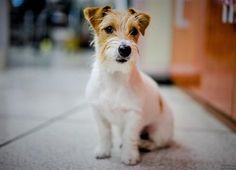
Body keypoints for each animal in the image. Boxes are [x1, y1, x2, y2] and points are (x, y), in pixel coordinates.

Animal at [84, 5, 174, 165]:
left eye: (134, 31)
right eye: (108, 29)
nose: (125, 49)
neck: (115, 75)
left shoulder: (133, 115)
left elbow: (129, 136)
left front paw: (129, 156)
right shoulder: (98, 112)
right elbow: (104, 133)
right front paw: (103, 150)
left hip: (160, 131)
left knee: (158, 143)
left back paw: (145, 144)